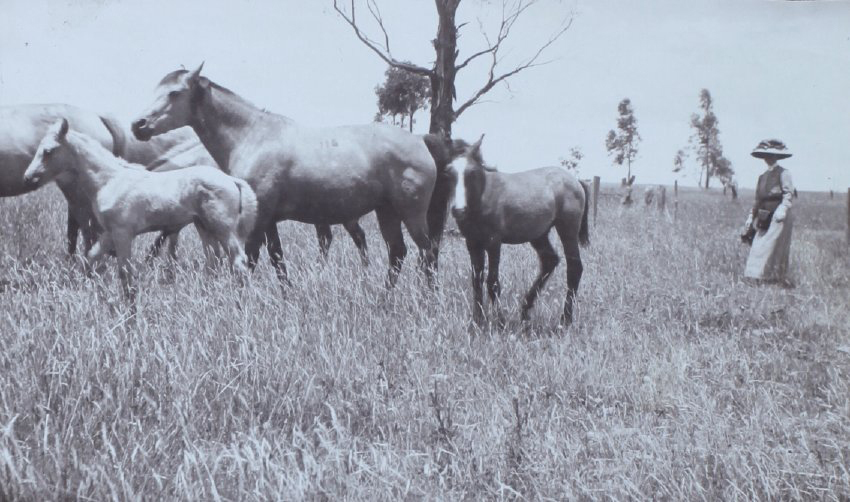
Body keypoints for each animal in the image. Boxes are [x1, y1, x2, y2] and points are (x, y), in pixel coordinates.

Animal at [23, 118, 257, 303]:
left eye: (48, 151)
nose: (28, 178)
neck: (110, 180)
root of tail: (231, 180)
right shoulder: (110, 233)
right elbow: (91, 257)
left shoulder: (123, 233)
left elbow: (125, 272)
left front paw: (130, 311)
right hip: (204, 227)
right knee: (214, 263)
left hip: (223, 228)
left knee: (238, 262)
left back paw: (240, 302)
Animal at [131, 64, 447, 286]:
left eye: (174, 92)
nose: (138, 125)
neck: (251, 136)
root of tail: (420, 140)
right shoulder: (269, 219)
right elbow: (277, 259)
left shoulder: (258, 219)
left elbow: (252, 259)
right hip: (387, 211)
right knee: (398, 253)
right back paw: (385, 300)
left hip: (411, 212)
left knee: (428, 253)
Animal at [448, 135, 590, 326]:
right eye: (449, 173)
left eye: (471, 173)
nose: (458, 210)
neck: (482, 197)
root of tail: (576, 181)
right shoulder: (472, 243)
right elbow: (476, 281)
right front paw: (477, 322)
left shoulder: (493, 242)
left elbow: (492, 282)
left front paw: (500, 322)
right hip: (539, 235)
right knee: (550, 260)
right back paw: (525, 309)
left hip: (567, 229)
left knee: (574, 267)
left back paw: (565, 319)